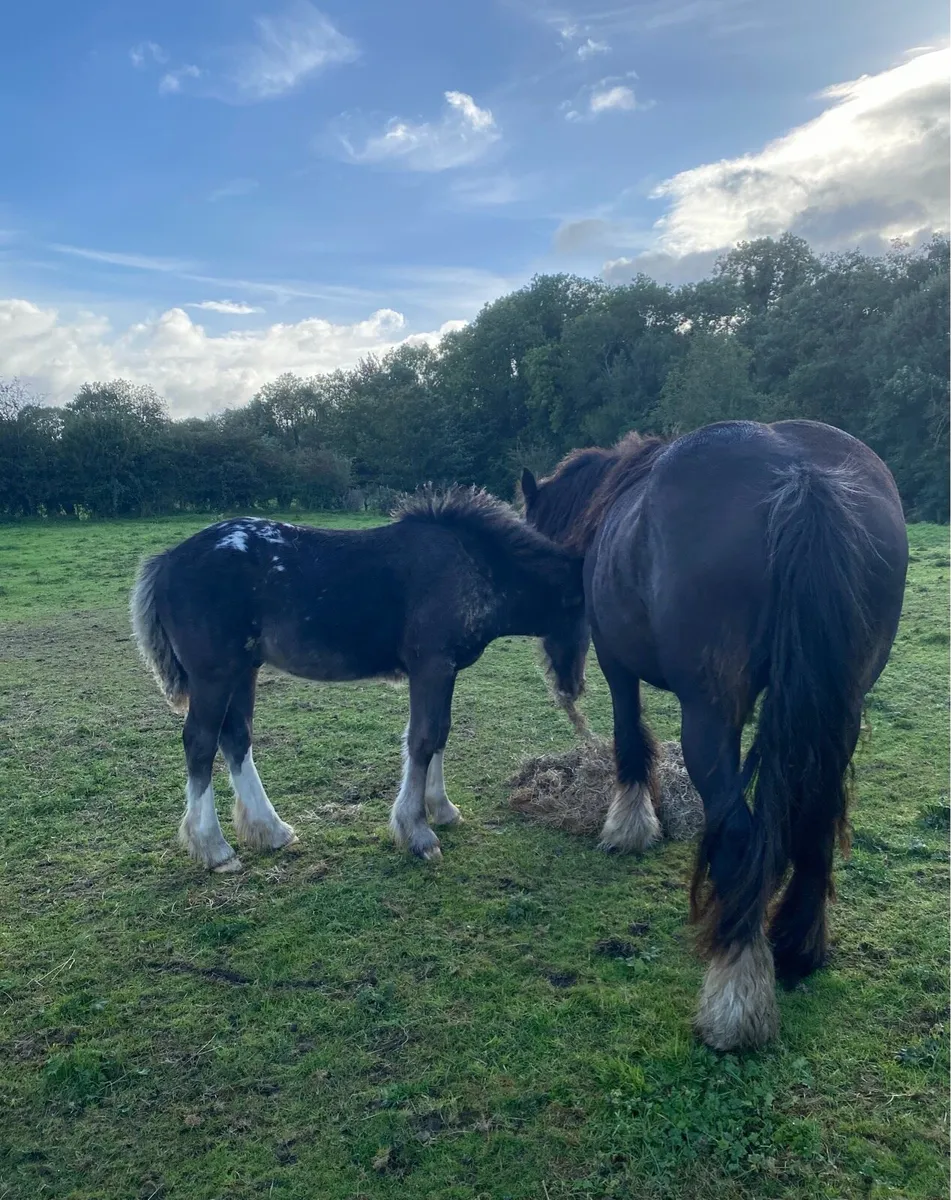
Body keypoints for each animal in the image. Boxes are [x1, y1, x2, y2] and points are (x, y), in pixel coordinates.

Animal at [130, 487, 585, 872]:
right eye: (582, 615)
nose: (574, 687)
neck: (470, 564)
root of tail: (166, 560)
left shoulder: (446, 670)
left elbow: (441, 733)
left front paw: (443, 810)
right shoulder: (432, 665)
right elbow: (423, 738)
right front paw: (418, 832)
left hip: (244, 670)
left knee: (236, 738)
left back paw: (272, 831)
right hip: (214, 675)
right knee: (200, 742)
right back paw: (214, 848)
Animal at [520, 419, 908, 1051]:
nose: (562, 680)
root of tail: (800, 476)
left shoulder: (615, 664)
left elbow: (630, 739)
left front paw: (630, 825)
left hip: (709, 719)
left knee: (740, 837)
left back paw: (736, 999)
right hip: (839, 711)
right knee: (816, 819)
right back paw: (797, 947)